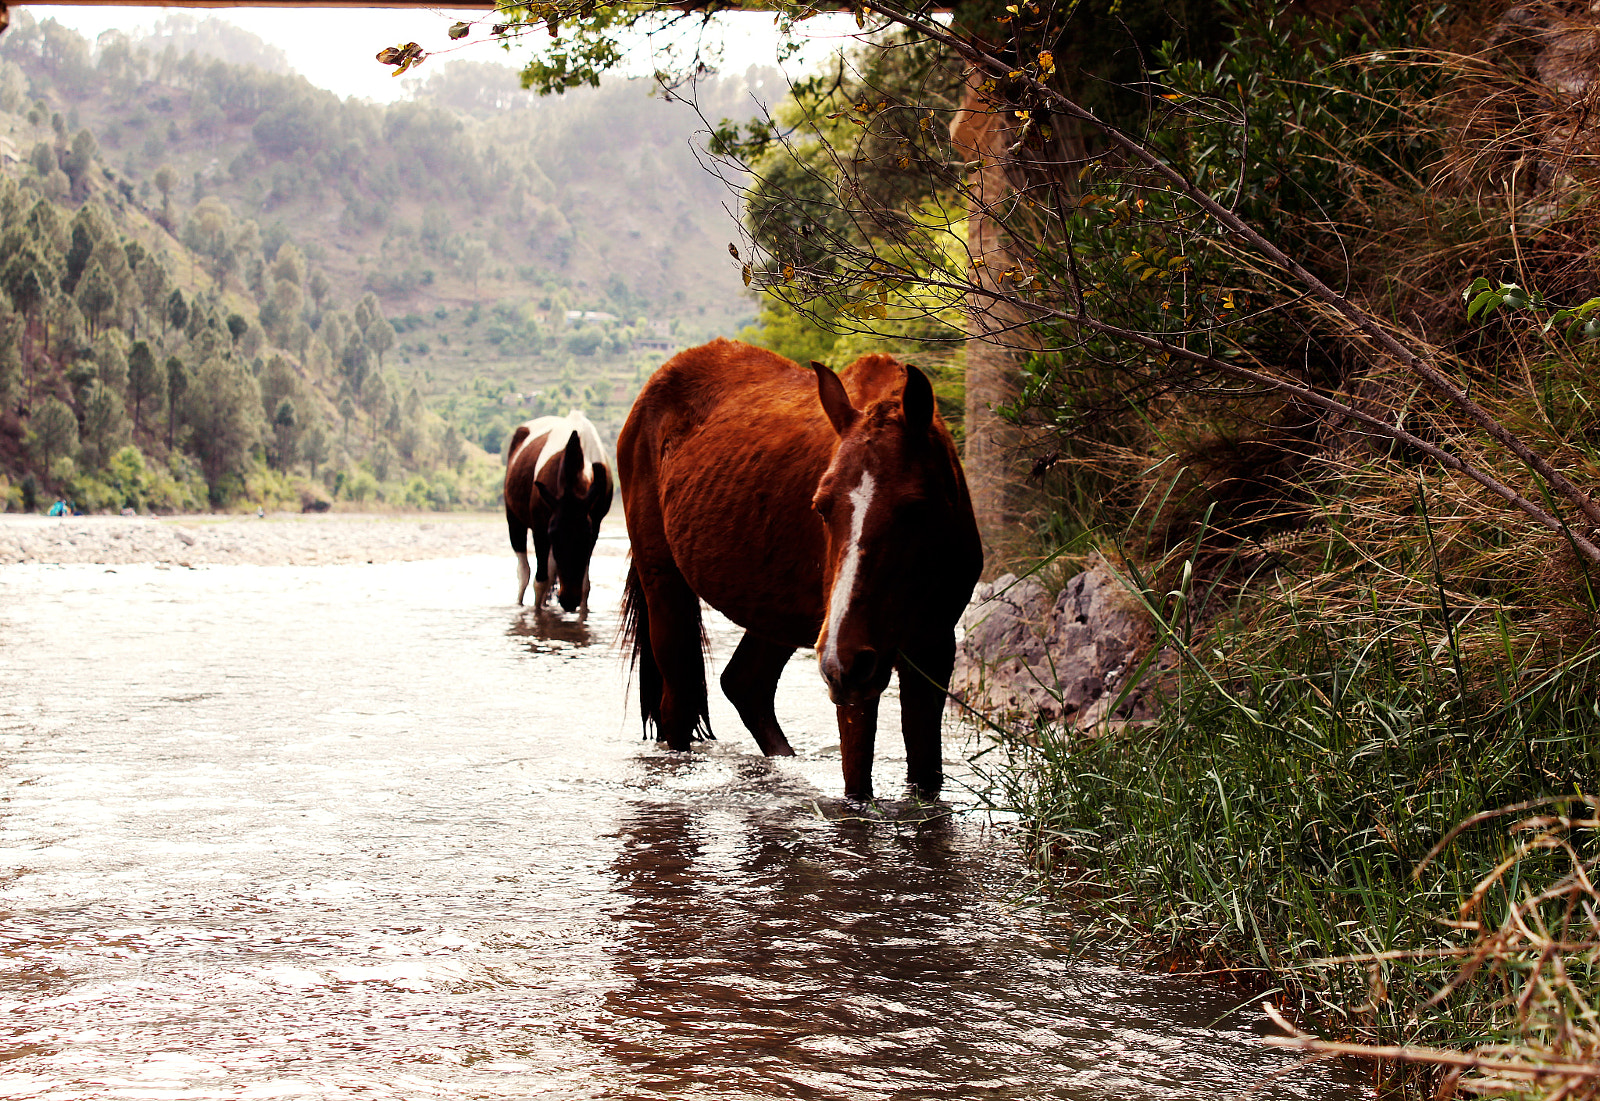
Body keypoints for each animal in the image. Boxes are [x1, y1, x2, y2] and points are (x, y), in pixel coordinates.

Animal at [504, 410, 613, 615]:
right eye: (553, 534)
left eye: (585, 537)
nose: (569, 601)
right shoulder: (540, 529)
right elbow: (540, 581)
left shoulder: (594, 526)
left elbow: (584, 585)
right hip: (514, 521)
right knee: (524, 572)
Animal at [617, 338, 983, 800]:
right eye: (821, 506)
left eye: (914, 508)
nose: (845, 662)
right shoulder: (857, 679)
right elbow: (857, 785)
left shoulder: (931, 648)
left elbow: (925, 774)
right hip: (666, 587)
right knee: (679, 705)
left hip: (780, 616)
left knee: (745, 684)